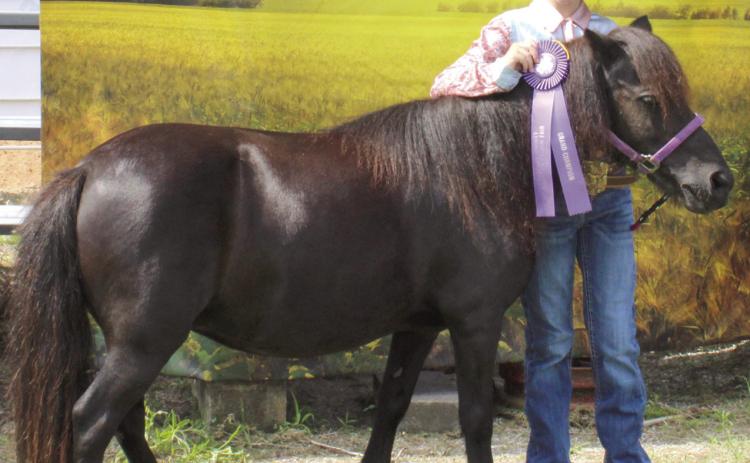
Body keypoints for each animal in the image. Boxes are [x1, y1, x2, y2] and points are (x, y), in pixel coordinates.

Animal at [5, 17, 733, 463]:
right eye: (647, 98)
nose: (718, 179)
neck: (482, 164)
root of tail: (89, 168)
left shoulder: (416, 325)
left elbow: (391, 408)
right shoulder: (473, 322)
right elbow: (475, 418)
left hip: (127, 341)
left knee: (122, 422)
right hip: (145, 339)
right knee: (93, 423)